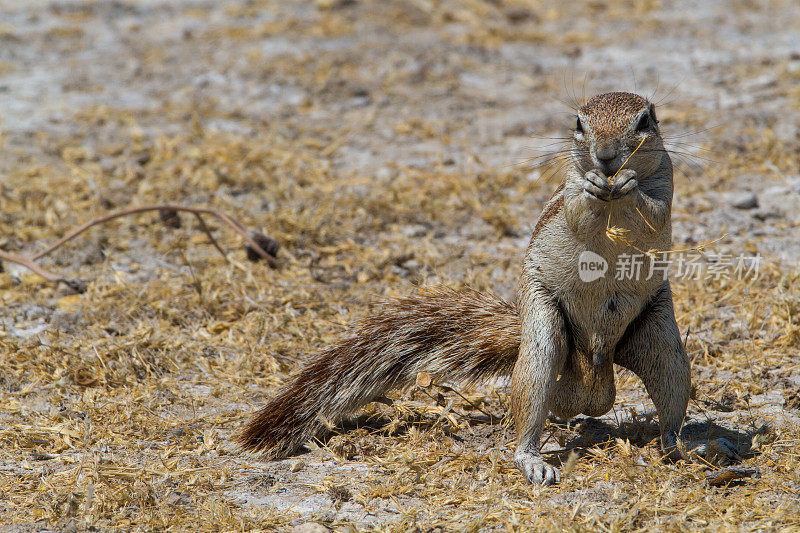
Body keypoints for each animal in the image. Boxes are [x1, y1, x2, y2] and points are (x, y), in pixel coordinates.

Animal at [238, 91, 736, 482]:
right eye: (579, 123)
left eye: (644, 122)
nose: (607, 157)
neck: (614, 198)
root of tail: (594, 371)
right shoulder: (569, 192)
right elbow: (578, 211)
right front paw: (596, 186)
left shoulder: (666, 182)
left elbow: (654, 209)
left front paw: (630, 182)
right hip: (543, 332)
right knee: (535, 399)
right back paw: (533, 457)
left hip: (661, 337)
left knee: (668, 412)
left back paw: (692, 448)